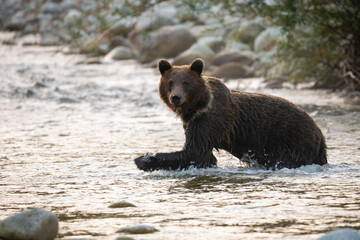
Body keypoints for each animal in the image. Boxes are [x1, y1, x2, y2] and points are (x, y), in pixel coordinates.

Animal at [134, 58, 328, 171]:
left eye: (186, 82)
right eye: (170, 82)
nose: (176, 97)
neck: (197, 107)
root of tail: (320, 133)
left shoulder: (209, 119)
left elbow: (195, 152)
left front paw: (144, 159)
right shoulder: (192, 122)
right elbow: (202, 156)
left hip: (292, 140)